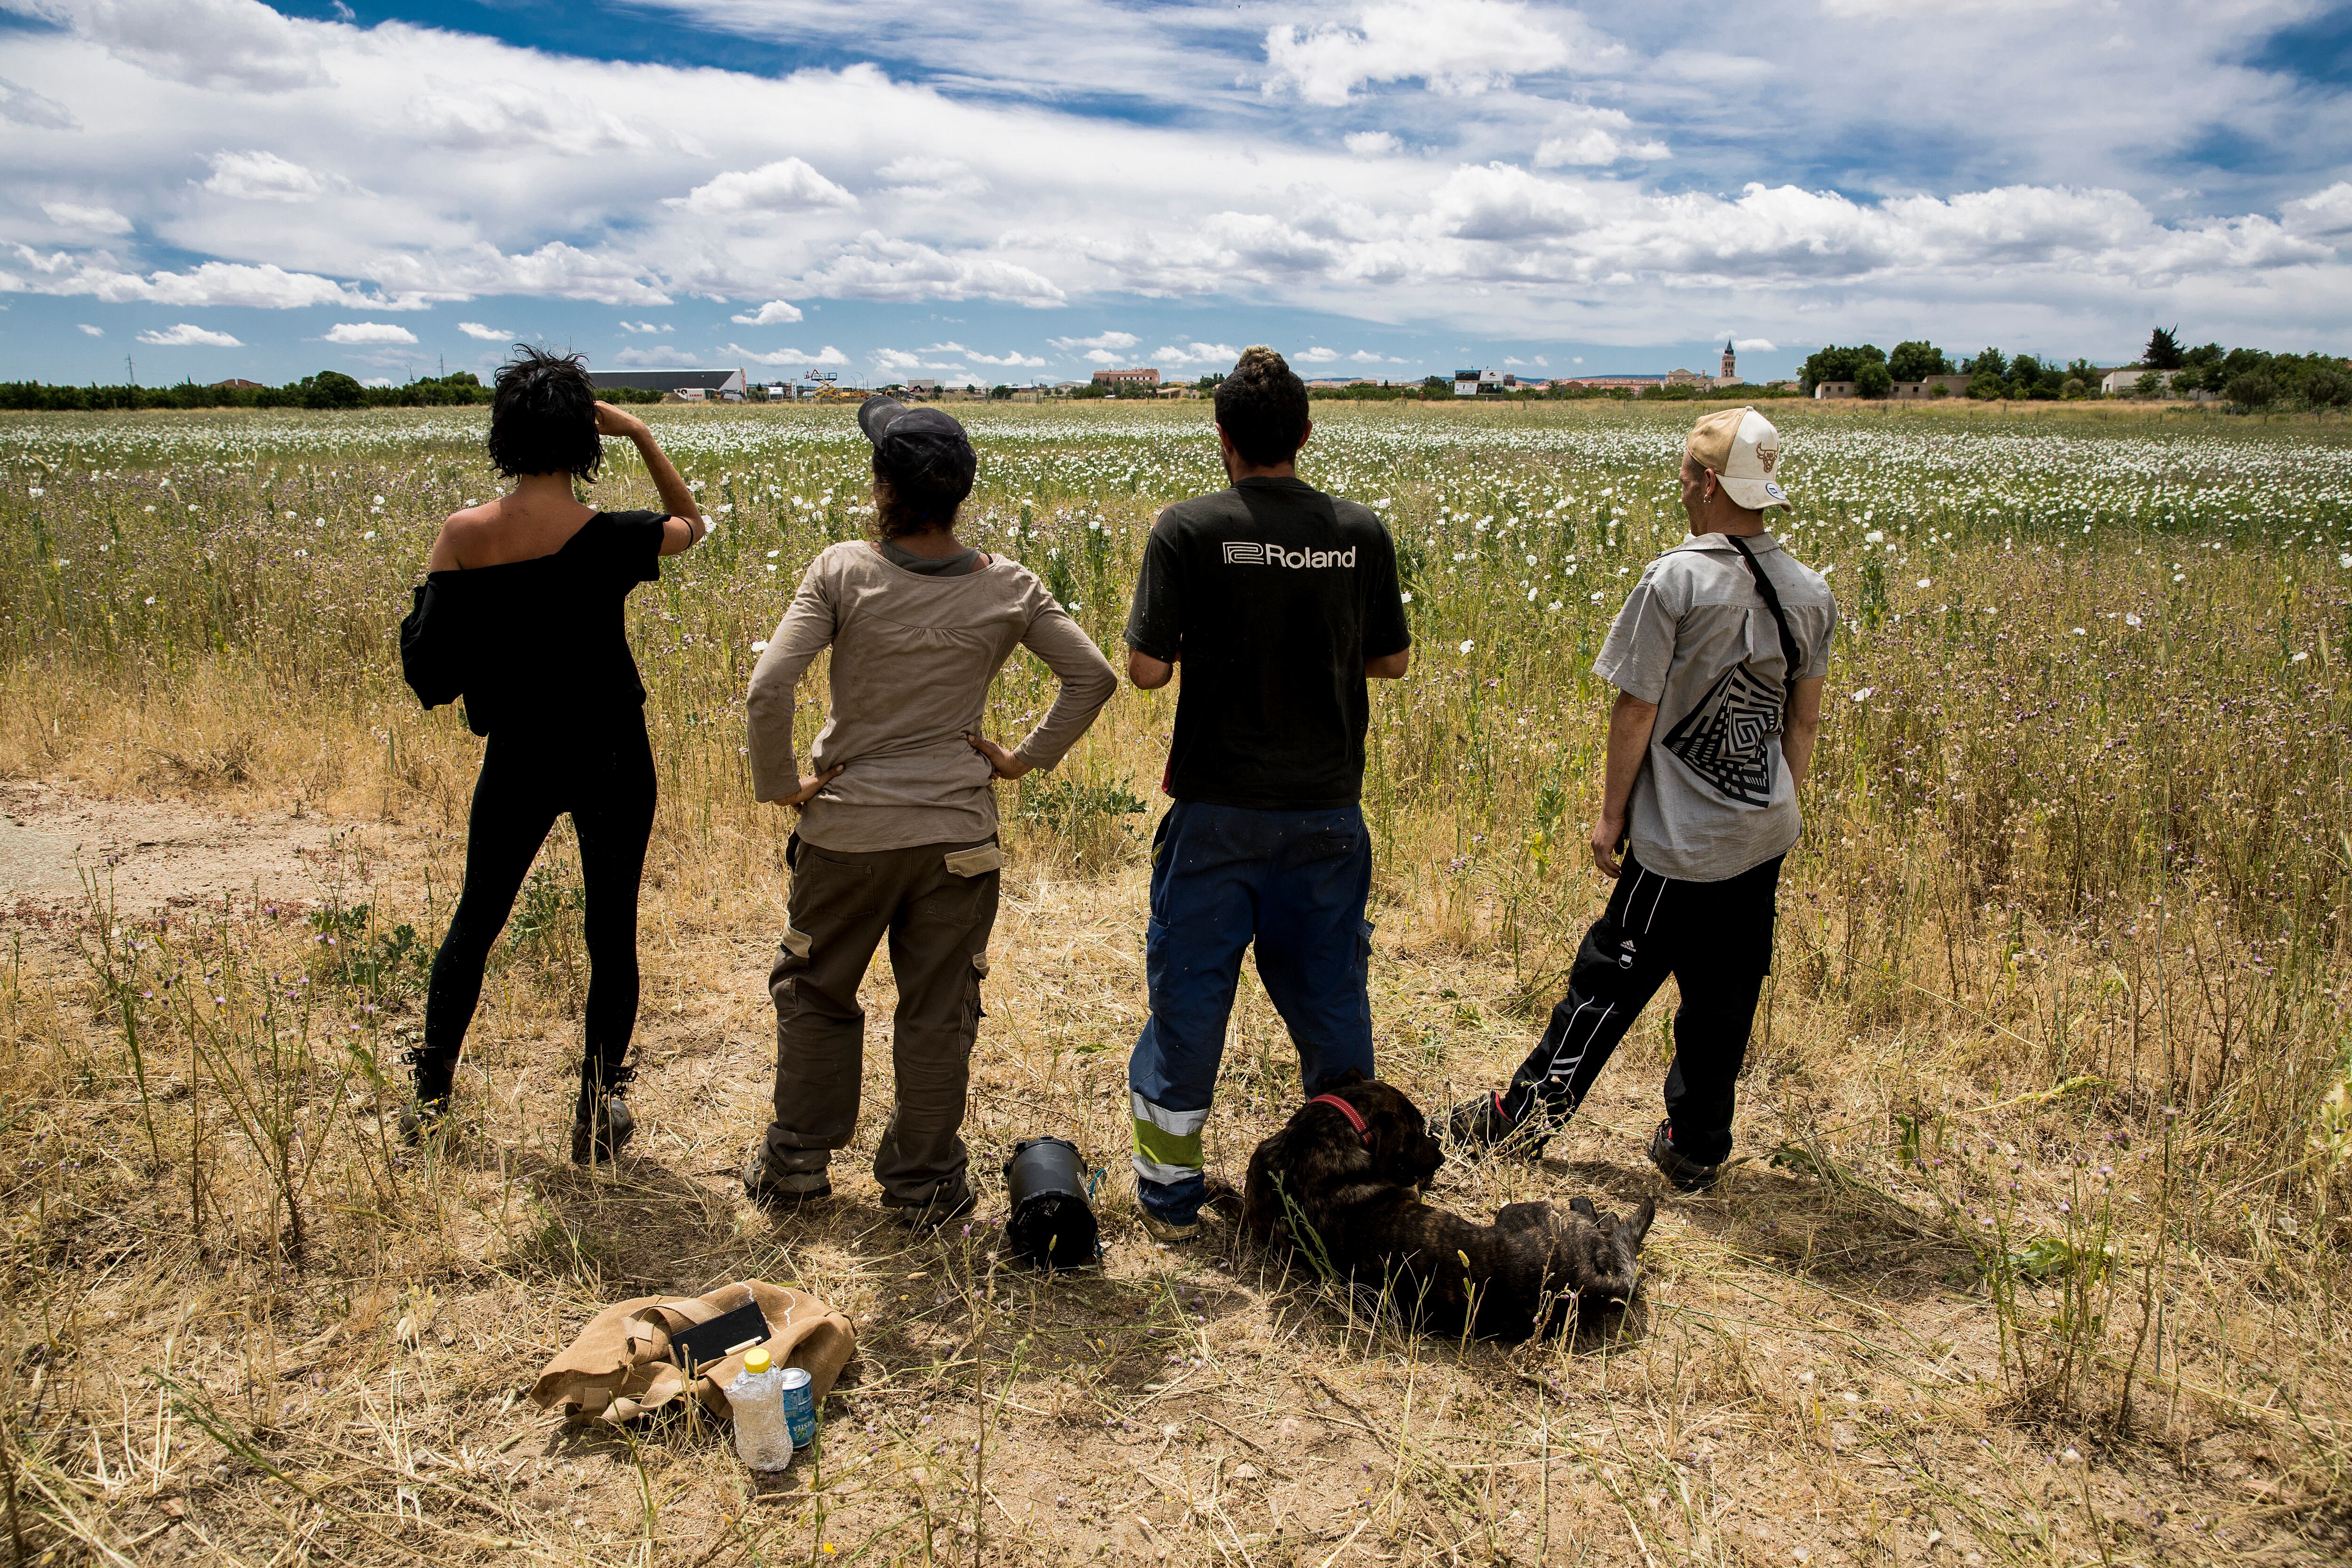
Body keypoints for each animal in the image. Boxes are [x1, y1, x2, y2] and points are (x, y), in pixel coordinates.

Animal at [1242, 1072, 1646, 1345]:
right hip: (1523, 1212)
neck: (1315, 1141)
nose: (1439, 1158)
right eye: (1415, 1132)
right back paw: (1595, 1210)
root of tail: (1583, 1281)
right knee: (1601, 1222)